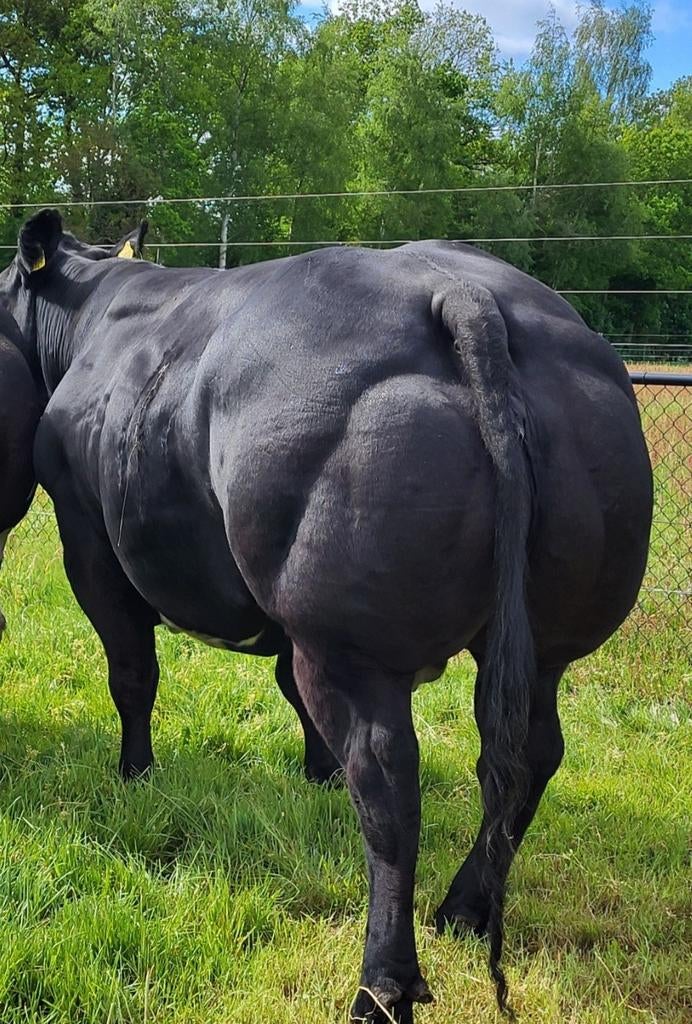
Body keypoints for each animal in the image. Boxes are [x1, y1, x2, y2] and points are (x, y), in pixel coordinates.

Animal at [0, 208, 652, 1023]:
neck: (95, 310)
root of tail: (460, 291)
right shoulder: (280, 612)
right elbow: (283, 686)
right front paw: (316, 773)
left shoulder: (89, 541)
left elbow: (132, 674)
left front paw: (135, 774)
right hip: (544, 642)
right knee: (529, 754)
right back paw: (464, 908)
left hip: (348, 642)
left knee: (389, 780)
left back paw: (382, 982)